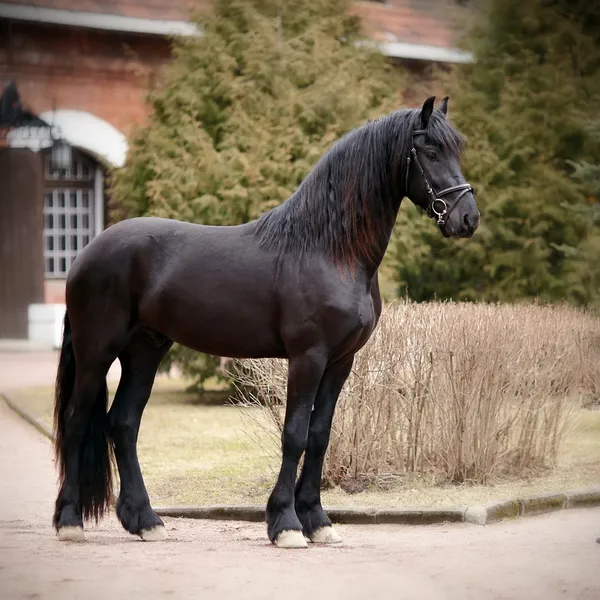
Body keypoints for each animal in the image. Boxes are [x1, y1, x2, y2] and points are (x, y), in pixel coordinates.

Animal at [54, 96, 480, 548]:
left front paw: (318, 521)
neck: (328, 249)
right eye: (430, 151)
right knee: (78, 419)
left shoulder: (340, 361)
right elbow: (294, 434)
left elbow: (320, 434)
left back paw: (145, 520)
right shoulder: (307, 357)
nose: (468, 218)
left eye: (456, 150)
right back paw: (70, 521)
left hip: (145, 350)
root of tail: (86, 253)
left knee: (123, 423)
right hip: (97, 351)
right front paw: (287, 524)